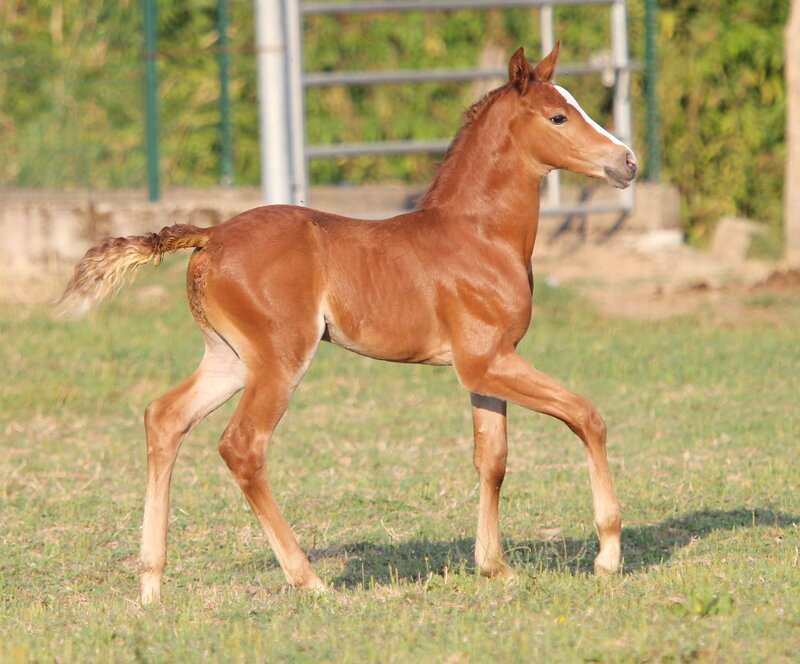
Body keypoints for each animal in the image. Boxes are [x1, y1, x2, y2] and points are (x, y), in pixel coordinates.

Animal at [57, 44, 637, 603]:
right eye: (559, 116)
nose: (627, 162)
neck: (478, 235)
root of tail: (213, 235)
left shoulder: (486, 365)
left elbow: (492, 458)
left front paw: (494, 567)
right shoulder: (486, 362)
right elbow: (586, 415)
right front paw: (607, 555)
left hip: (229, 358)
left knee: (164, 417)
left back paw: (151, 584)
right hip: (279, 358)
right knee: (242, 446)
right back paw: (307, 580)